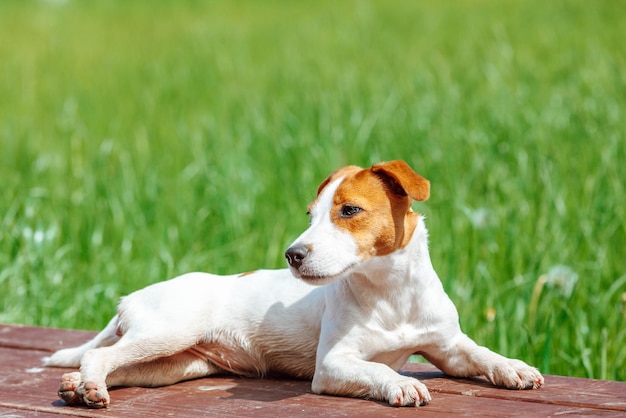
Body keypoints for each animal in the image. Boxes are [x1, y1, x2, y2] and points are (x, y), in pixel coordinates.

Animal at [45, 161, 540, 408]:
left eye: (349, 210)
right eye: (311, 214)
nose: (293, 255)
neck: (391, 293)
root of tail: (131, 298)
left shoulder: (449, 346)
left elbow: (482, 354)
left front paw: (514, 367)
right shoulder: (334, 364)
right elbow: (380, 369)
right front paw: (400, 384)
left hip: (176, 365)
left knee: (115, 365)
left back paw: (76, 385)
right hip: (169, 332)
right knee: (98, 356)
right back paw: (89, 388)